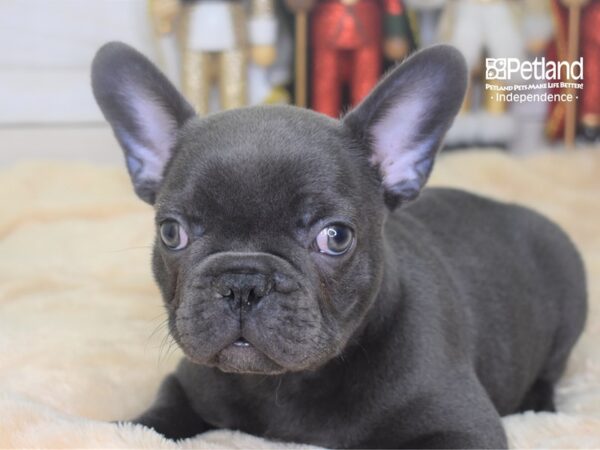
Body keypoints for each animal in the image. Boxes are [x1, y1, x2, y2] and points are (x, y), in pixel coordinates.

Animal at [92, 41, 584, 446]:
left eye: (336, 237)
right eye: (171, 232)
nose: (242, 283)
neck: (286, 384)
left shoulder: (462, 425)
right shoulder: (185, 386)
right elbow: (151, 420)